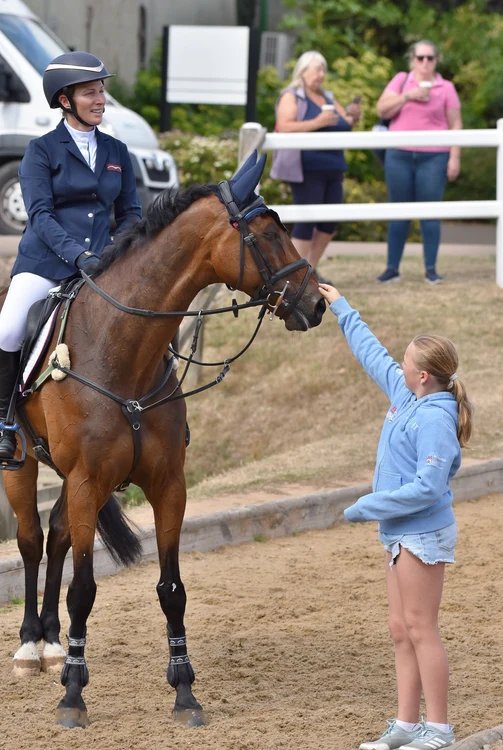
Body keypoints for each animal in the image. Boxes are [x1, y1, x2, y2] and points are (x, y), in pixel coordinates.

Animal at [2, 151, 325, 728]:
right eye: (267, 234)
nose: (315, 304)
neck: (123, 352)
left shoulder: (166, 485)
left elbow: (172, 590)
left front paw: (185, 691)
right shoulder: (87, 480)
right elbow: (84, 590)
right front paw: (73, 696)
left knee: (58, 534)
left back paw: (54, 643)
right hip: (21, 463)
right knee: (33, 540)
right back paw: (29, 646)